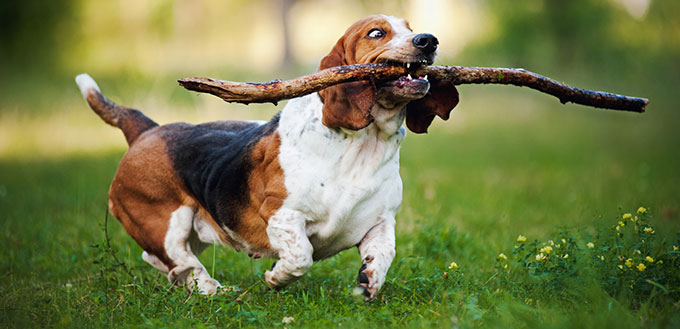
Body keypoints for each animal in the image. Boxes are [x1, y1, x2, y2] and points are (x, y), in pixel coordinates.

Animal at [77, 14, 460, 300]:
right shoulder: (283, 216)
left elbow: (384, 254)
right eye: (377, 33)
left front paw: (369, 282)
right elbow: (302, 256)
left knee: (163, 261)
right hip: (168, 220)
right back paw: (213, 289)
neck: (365, 144)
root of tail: (146, 130)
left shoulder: (380, 222)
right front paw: (276, 278)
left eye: (411, 28)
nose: (428, 40)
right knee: (179, 260)